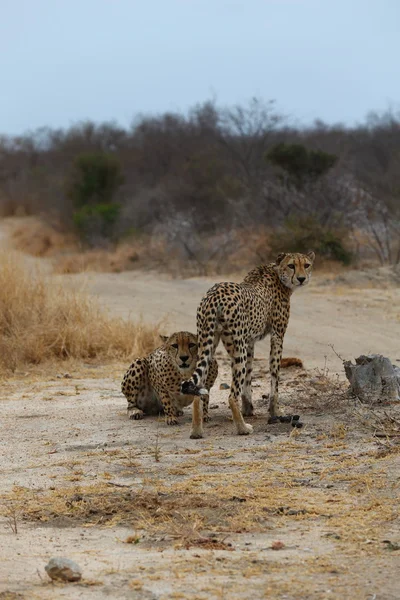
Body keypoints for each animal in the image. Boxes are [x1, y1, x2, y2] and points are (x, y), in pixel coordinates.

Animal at [181, 251, 316, 438]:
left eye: (307, 264)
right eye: (291, 265)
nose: (302, 278)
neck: (278, 273)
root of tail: (214, 293)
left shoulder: (249, 341)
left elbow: (249, 376)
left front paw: (248, 409)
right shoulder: (277, 336)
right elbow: (274, 376)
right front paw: (275, 411)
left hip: (208, 343)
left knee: (197, 388)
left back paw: (196, 430)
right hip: (237, 348)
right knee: (231, 395)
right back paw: (243, 428)